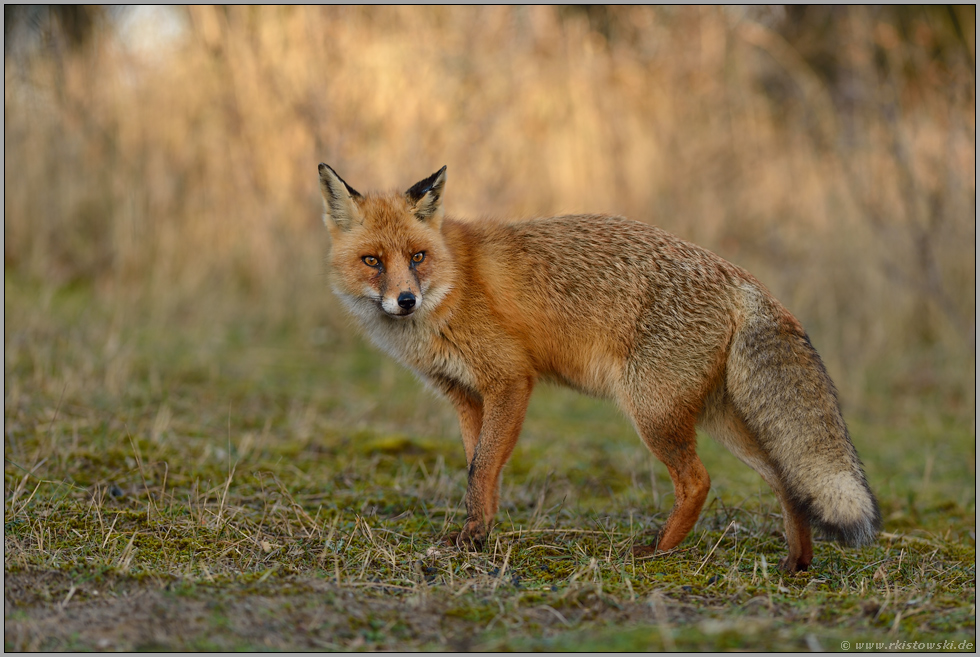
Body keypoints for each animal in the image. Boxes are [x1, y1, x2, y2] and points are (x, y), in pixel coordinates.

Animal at [316, 163, 880, 568]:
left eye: (416, 257)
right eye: (372, 261)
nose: (406, 300)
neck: (453, 281)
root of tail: (741, 278)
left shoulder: (510, 381)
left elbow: (480, 468)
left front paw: (472, 539)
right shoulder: (465, 395)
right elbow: (482, 471)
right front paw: (479, 535)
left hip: (652, 413)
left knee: (698, 482)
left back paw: (657, 551)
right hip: (716, 417)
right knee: (787, 481)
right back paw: (797, 564)